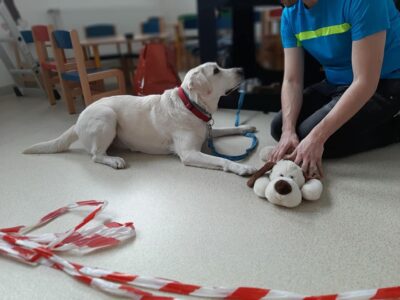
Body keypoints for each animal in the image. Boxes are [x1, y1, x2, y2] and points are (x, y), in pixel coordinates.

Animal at [23, 63, 258, 176]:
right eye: (216, 71)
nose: (241, 69)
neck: (191, 105)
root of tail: (78, 120)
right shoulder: (189, 153)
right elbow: (222, 160)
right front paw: (242, 168)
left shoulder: (207, 129)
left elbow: (225, 128)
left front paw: (245, 127)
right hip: (107, 116)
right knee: (96, 155)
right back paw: (114, 160)